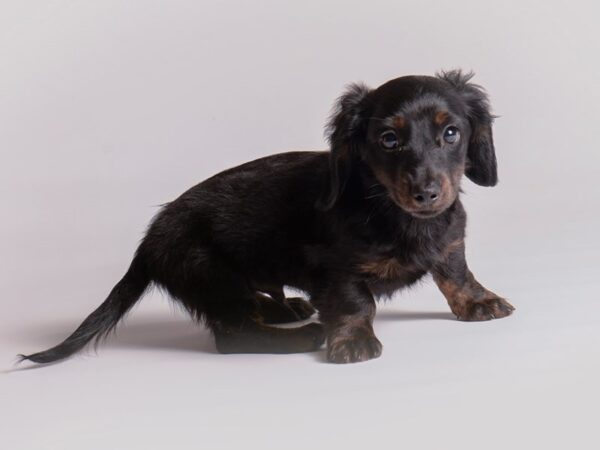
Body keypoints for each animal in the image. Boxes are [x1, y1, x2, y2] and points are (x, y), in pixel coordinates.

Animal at [19, 70, 516, 366]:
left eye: (451, 132)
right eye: (389, 140)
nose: (426, 193)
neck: (393, 210)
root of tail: (147, 241)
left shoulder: (450, 242)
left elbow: (456, 273)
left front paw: (479, 302)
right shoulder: (338, 269)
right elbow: (357, 302)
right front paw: (352, 340)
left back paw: (285, 307)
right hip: (210, 274)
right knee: (232, 336)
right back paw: (303, 333)